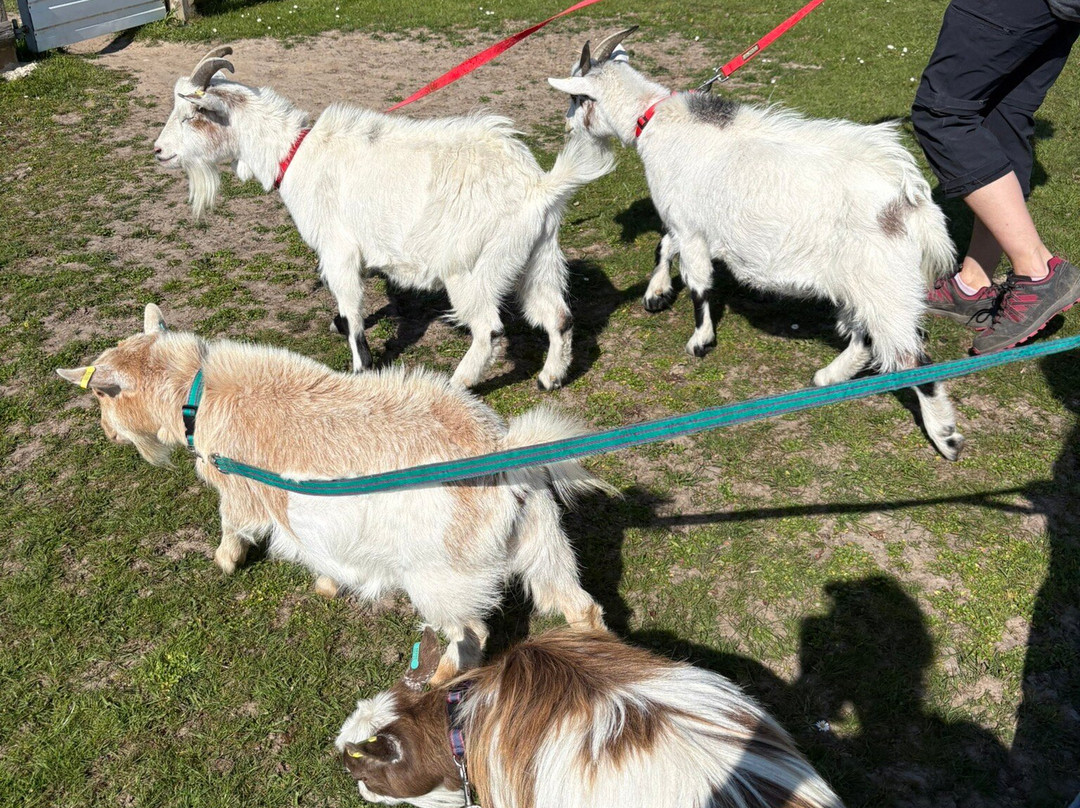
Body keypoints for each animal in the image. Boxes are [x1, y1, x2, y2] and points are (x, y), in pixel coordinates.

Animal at [56, 303, 611, 684]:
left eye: (101, 395)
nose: (107, 434)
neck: (197, 392)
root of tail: (504, 452)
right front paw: (327, 584)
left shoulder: (243, 493)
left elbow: (233, 524)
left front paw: (225, 561)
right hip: (544, 543)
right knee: (579, 606)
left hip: (441, 578)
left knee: (471, 636)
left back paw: (436, 680)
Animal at [153, 47, 615, 391]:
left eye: (190, 116)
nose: (158, 151)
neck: (296, 153)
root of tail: (537, 188)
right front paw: (340, 326)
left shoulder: (338, 248)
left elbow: (353, 306)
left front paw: (360, 366)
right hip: (537, 257)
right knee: (558, 316)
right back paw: (550, 378)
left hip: (470, 267)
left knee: (489, 329)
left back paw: (459, 382)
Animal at [548, 29, 965, 461]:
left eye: (575, 97)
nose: (566, 127)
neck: (658, 122)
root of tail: (910, 199)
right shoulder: (684, 219)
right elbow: (664, 246)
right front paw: (657, 294)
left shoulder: (690, 226)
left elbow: (698, 283)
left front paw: (699, 341)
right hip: (868, 281)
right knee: (869, 338)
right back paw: (829, 376)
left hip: (882, 278)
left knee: (913, 358)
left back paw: (946, 437)